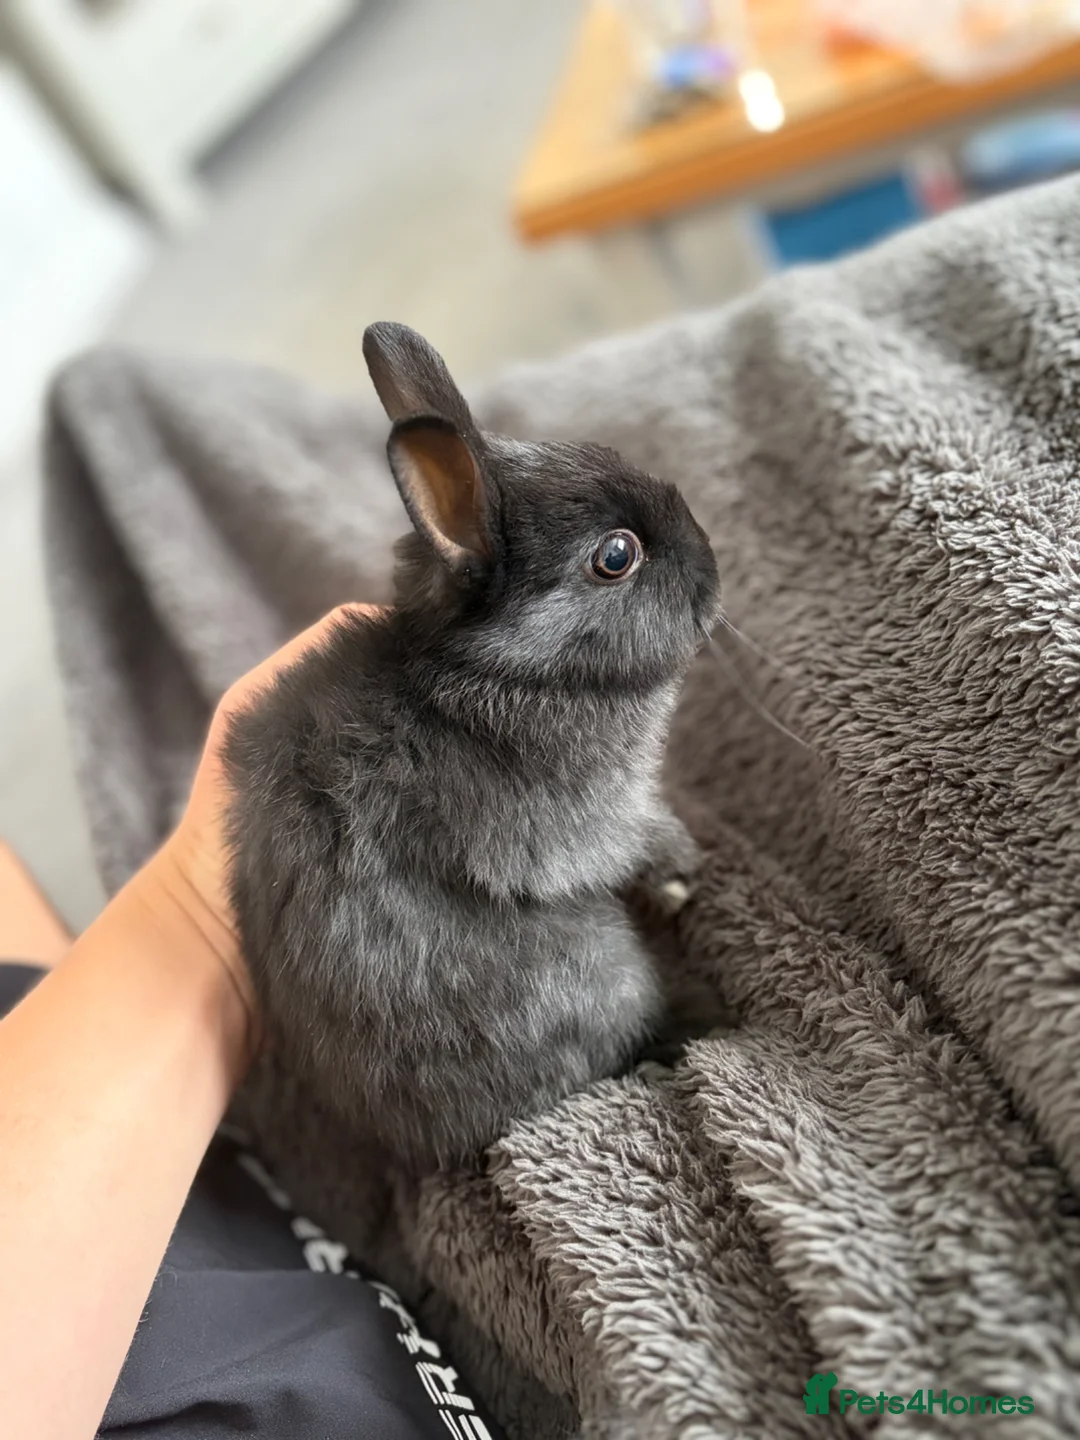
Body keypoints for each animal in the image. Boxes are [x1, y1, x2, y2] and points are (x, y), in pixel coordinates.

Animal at [222, 321, 720, 1173]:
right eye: (616, 555)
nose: (714, 564)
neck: (492, 668)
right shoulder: (589, 823)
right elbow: (632, 842)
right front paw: (683, 868)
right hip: (604, 969)